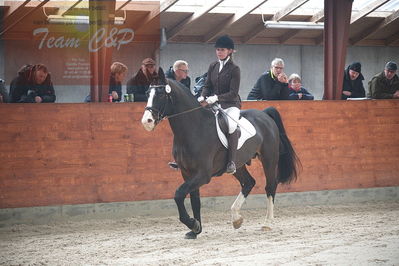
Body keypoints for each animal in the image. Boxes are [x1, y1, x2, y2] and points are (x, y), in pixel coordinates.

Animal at [141, 79, 300, 239]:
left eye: (161, 95)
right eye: (147, 94)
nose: (146, 121)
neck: (195, 128)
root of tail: (264, 114)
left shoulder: (203, 175)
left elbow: (179, 194)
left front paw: (192, 224)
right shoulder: (187, 173)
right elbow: (195, 200)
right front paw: (195, 229)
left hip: (269, 159)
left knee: (270, 186)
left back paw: (267, 223)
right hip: (238, 165)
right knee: (249, 182)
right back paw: (236, 218)